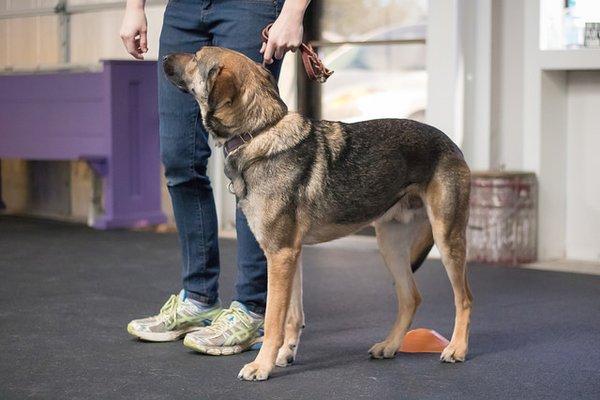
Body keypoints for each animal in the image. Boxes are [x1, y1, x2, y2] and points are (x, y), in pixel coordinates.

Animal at [163, 47, 474, 382]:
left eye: (196, 57)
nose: (163, 56)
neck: (259, 132)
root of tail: (452, 144)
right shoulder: (290, 255)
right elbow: (291, 316)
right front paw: (285, 355)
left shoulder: (279, 254)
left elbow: (272, 320)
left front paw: (261, 365)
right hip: (390, 245)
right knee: (410, 298)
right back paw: (389, 346)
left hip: (446, 239)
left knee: (464, 298)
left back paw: (456, 348)